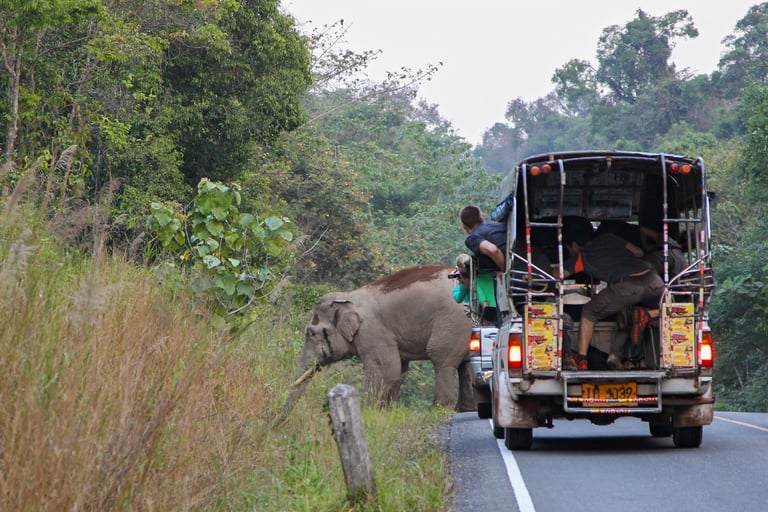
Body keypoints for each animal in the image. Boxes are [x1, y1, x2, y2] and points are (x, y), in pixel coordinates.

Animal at [278, 266, 474, 422]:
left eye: (311, 333)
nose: (276, 424)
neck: (348, 296)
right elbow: (399, 371)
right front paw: (386, 413)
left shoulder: (373, 331)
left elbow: (385, 369)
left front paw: (367, 413)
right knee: (466, 365)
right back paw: (464, 410)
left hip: (452, 323)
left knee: (441, 360)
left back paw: (438, 410)